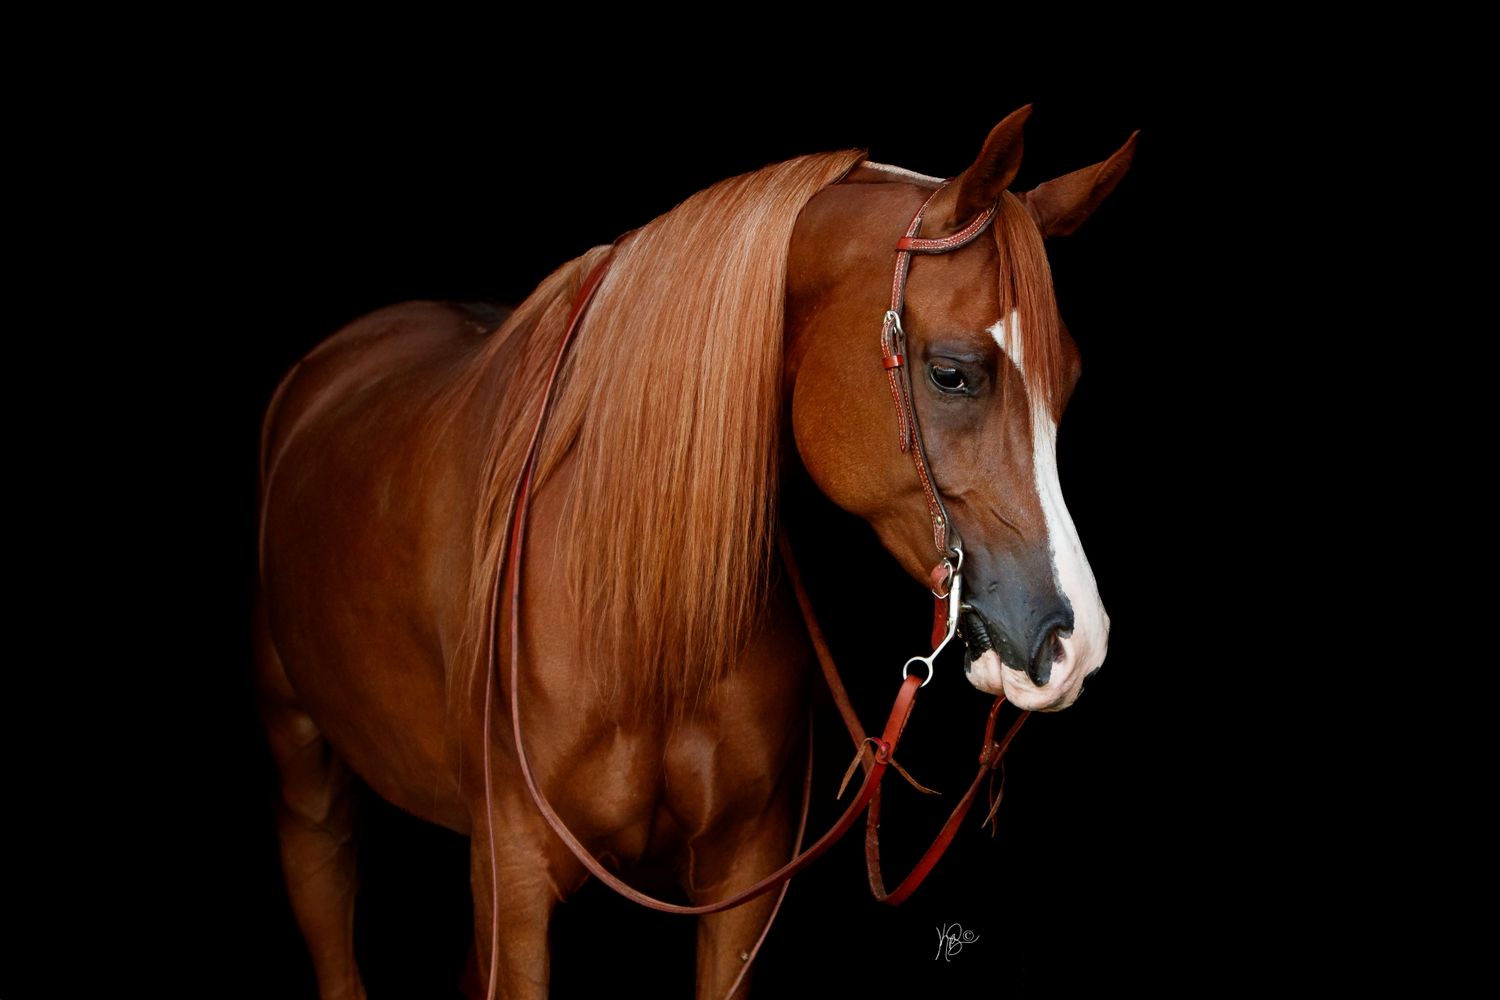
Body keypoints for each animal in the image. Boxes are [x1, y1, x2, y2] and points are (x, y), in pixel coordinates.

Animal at [255, 104, 1135, 999]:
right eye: (953, 373)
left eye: (1067, 384)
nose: (1076, 642)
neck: (641, 617)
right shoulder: (515, 878)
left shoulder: (741, 879)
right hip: (306, 775)